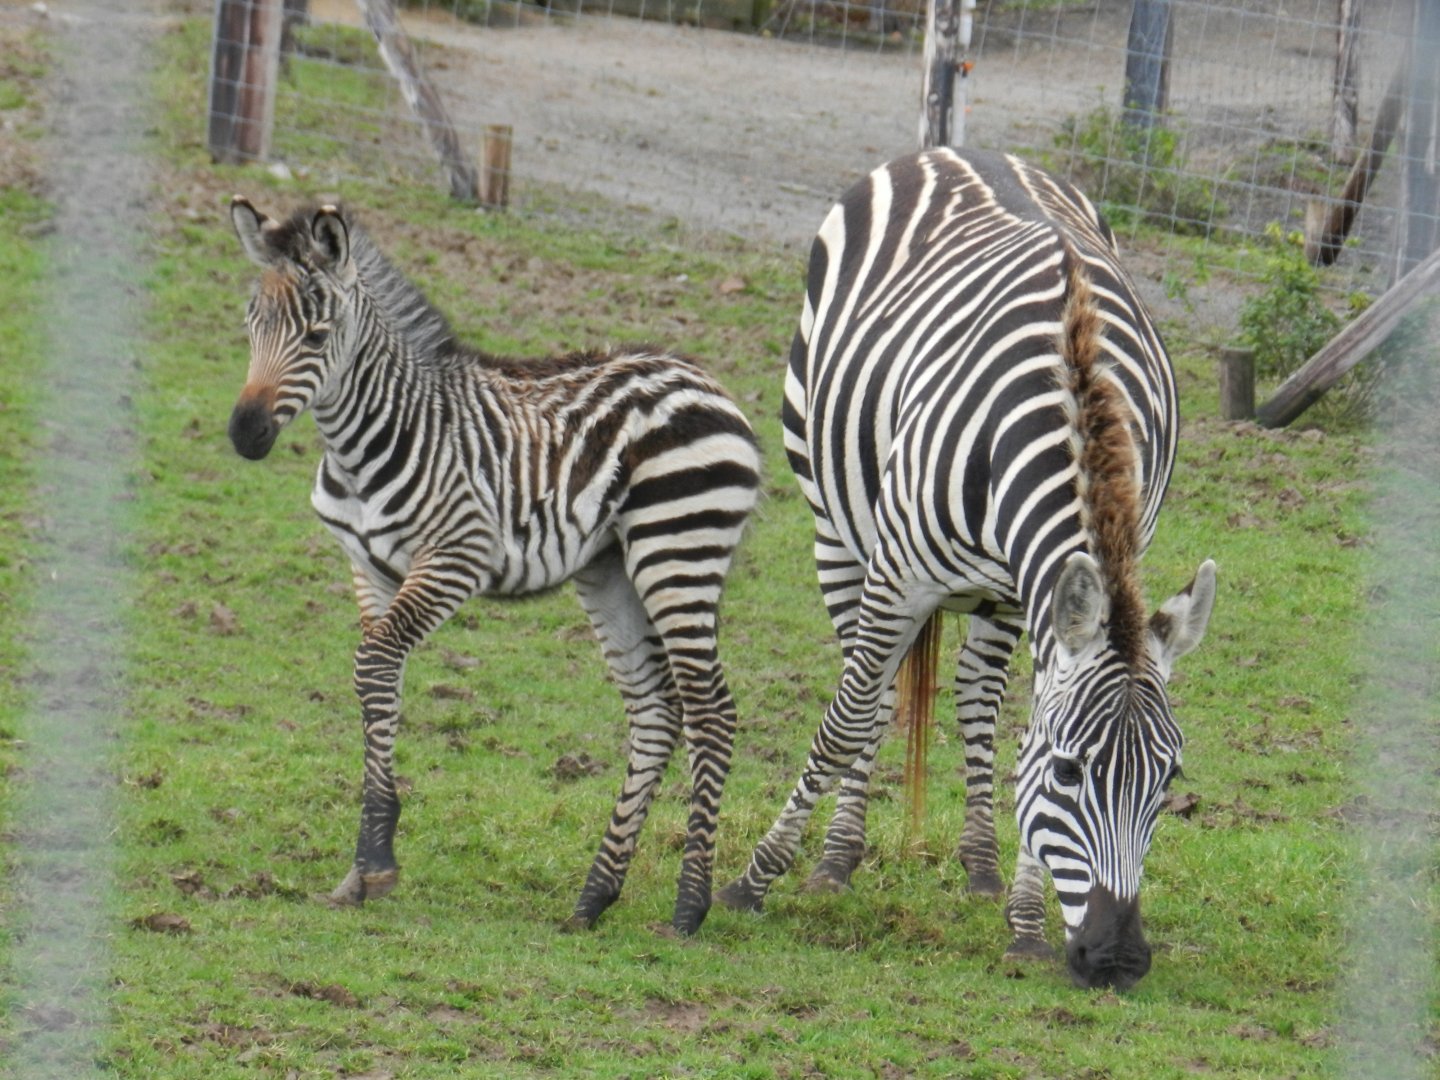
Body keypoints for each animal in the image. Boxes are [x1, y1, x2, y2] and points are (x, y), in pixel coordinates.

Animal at [226, 197, 760, 936]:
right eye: (251, 323)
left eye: (317, 334)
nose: (244, 435)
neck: (368, 442)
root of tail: (706, 380)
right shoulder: (367, 568)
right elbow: (376, 679)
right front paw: (362, 870)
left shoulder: (458, 556)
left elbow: (375, 664)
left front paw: (376, 861)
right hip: (611, 568)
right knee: (656, 710)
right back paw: (593, 898)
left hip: (677, 548)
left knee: (711, 710)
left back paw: (688, 909)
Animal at [716, 148, 1216, 990]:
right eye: (1070, 774)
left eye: (1169, 779)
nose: (1117, 960)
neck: (1075, 391)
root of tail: (956, 150)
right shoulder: (898, 575)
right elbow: (848, 717)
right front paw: (755, 878)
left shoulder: (1038, 592)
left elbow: (1017, 727)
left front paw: (1024, 923)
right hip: (835, 529)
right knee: (871, 693)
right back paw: (836, 857)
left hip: (996, 598)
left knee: (977, 696)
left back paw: (980, 867)